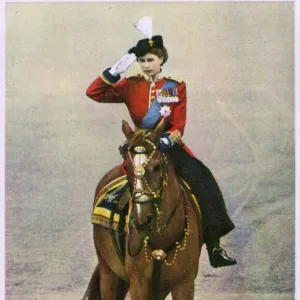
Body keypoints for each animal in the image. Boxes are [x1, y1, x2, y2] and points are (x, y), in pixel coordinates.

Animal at [82, 118, 204, 298]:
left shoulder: (184, 284)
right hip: (108, 274)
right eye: (128, 166)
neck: (163, 238)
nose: (141, 220)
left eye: (157, 166)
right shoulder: (139, 284)